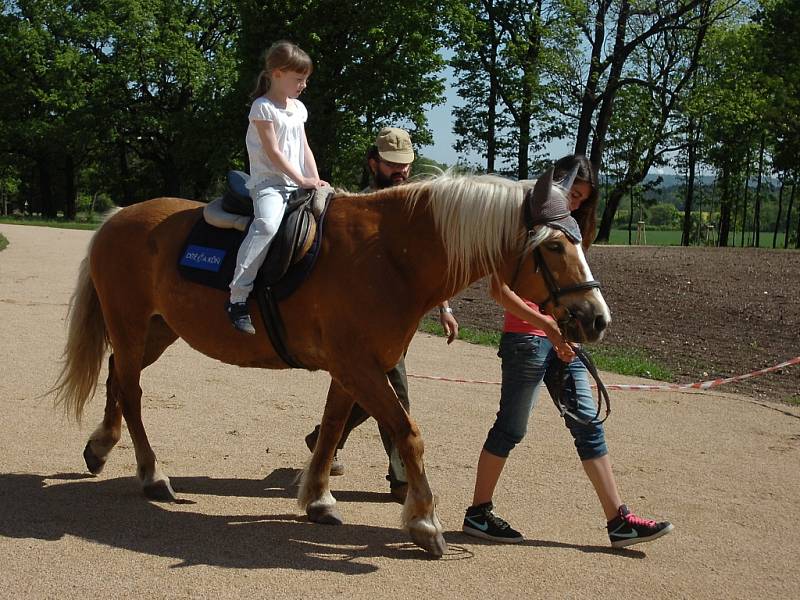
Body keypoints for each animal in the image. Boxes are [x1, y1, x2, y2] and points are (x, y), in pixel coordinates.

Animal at [50, 166, 608, 556]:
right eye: (554, 247)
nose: (596, 319)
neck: (390, 256)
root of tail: (117, 216)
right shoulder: (360, 367)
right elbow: (407, 433)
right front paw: (424, 522)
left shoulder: (353, 368)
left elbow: (334, 426)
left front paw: (317, 498)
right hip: (129, 325)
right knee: (131, 392)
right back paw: (151, 474)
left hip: (156, 331)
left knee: (117, 382)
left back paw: (101, 447)